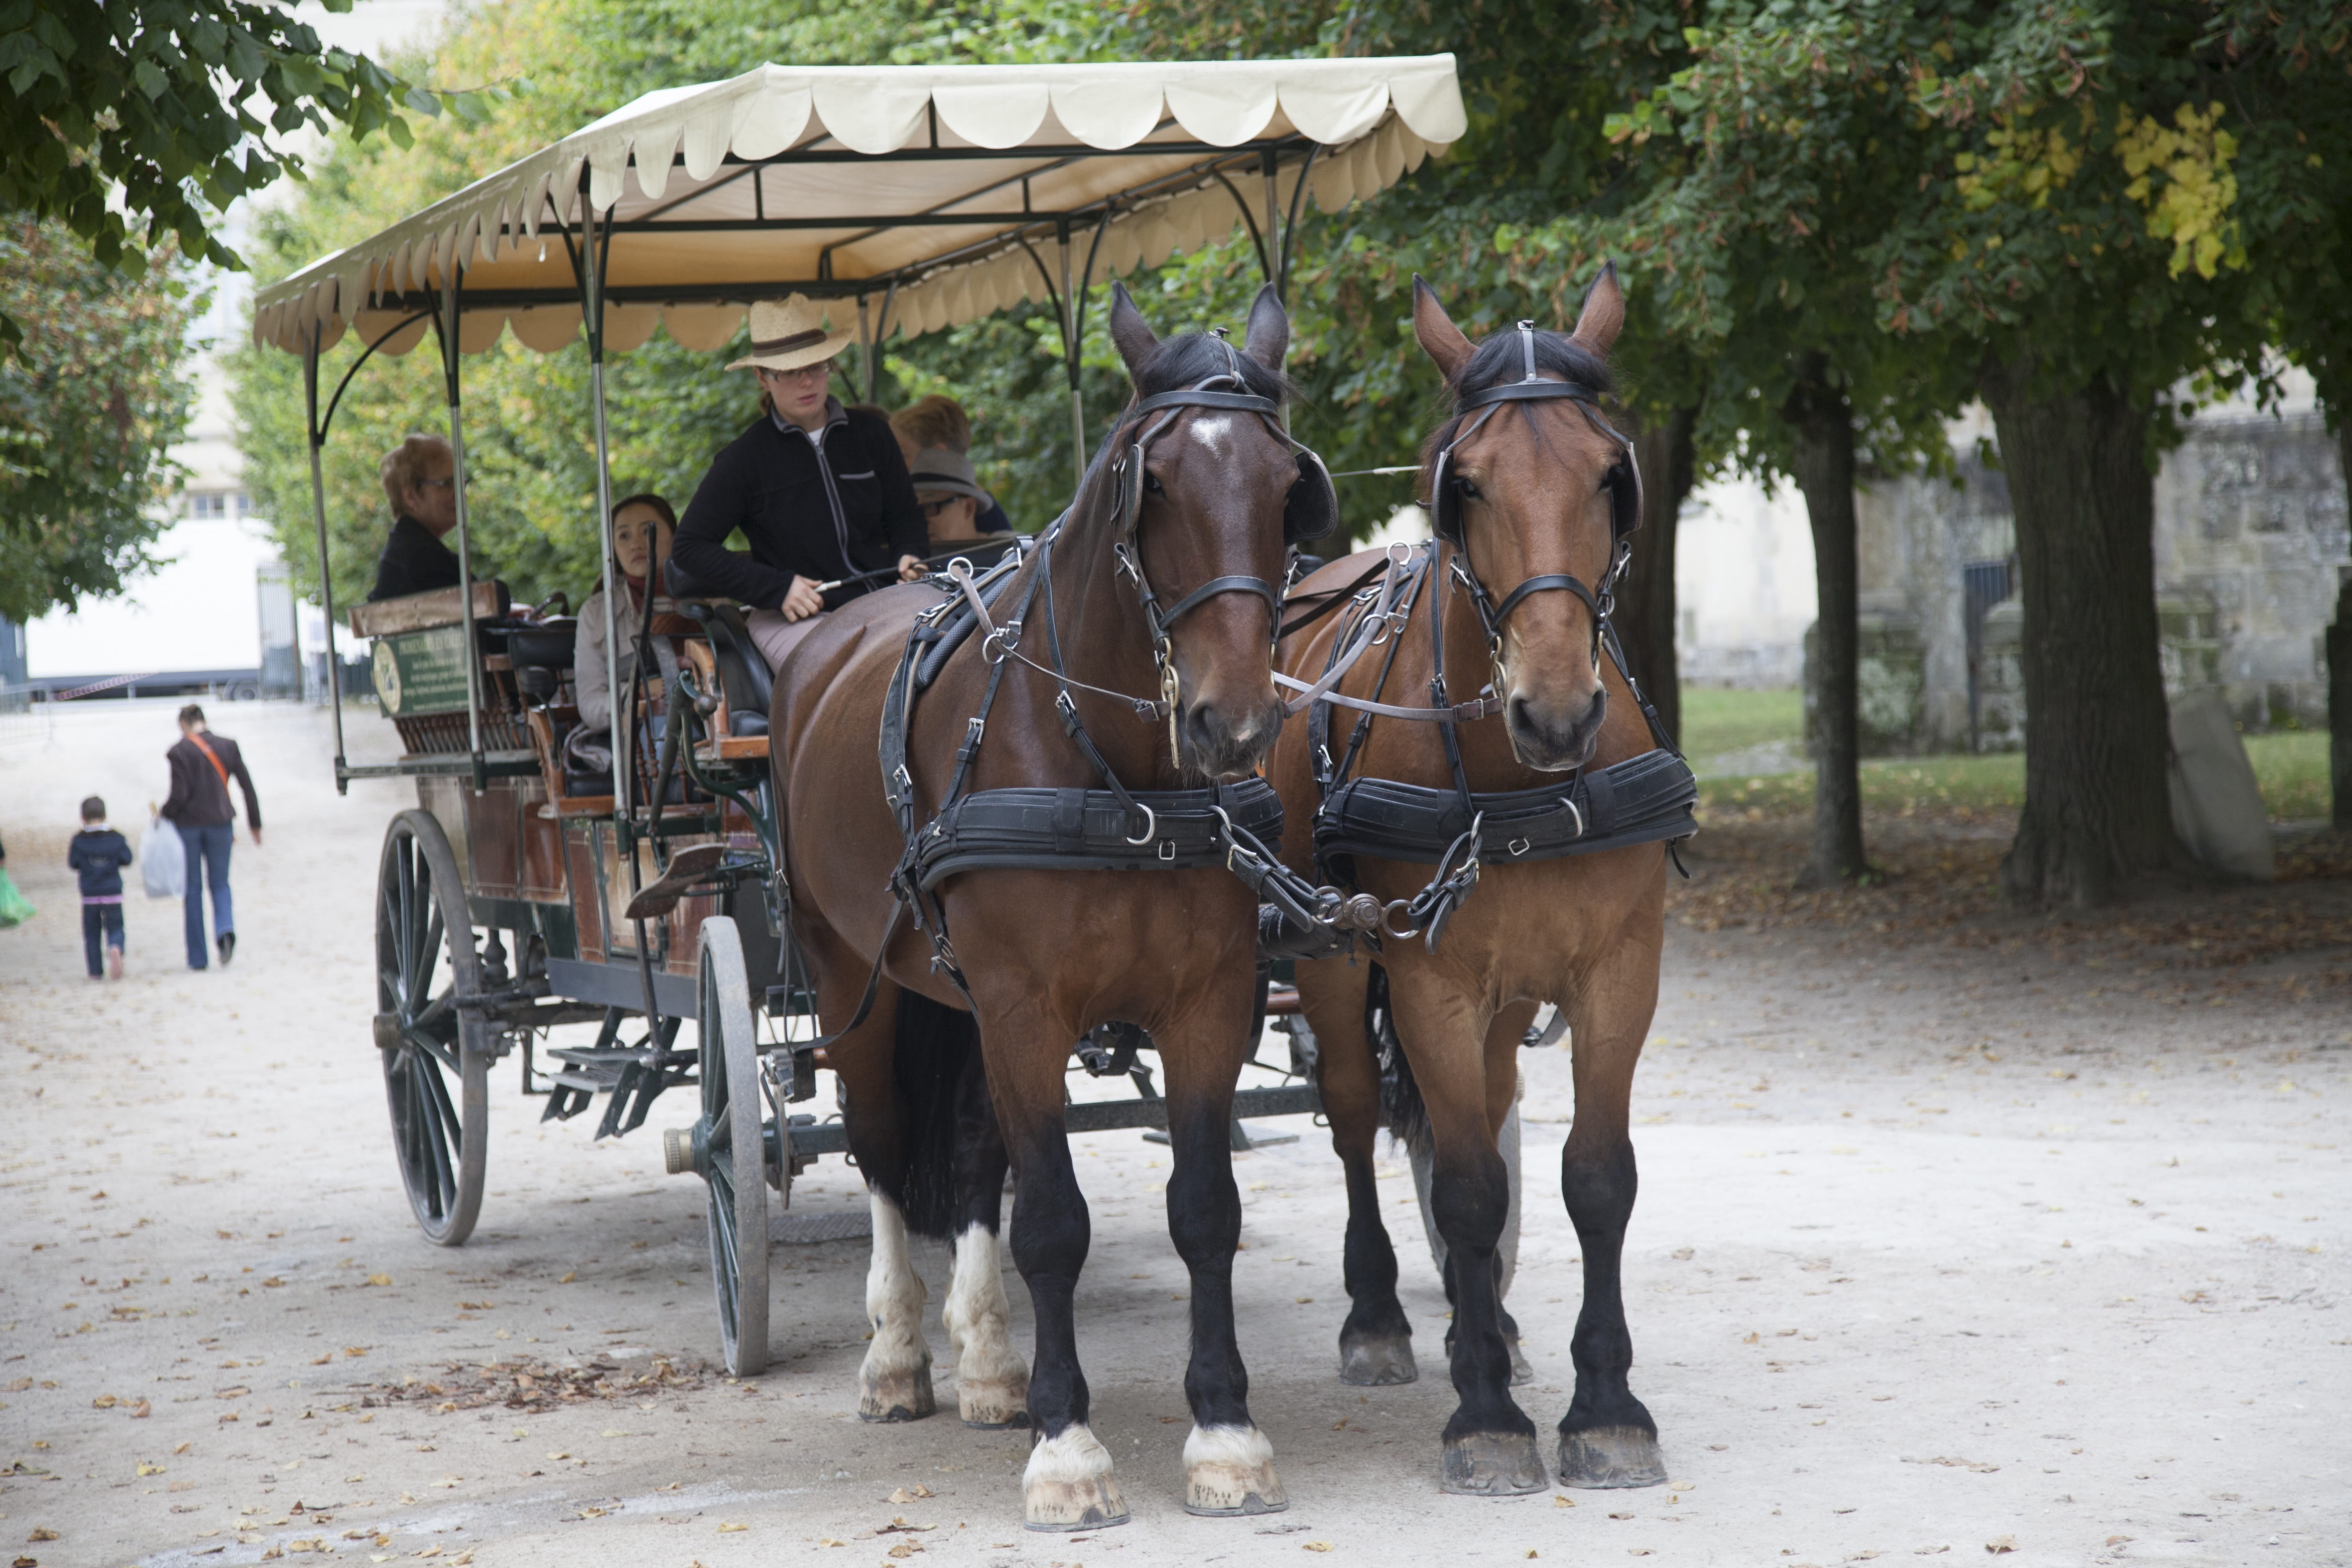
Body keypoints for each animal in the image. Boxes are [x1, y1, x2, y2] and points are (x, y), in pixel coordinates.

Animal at [770, 283, 1323, 1531]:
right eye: (1151, 484)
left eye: (1285, 485)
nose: (1231, 722)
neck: (1117, 772)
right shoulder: (1026, 1007)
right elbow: (1055, 1223)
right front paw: (1069, 1449)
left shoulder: (1207, 1002)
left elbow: (1203, 1205)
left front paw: (1224, 1430)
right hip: (849, 974)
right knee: (881, 1147)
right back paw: (898, 1358)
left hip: (956, 998)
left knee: (974, 1155)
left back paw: (986, 1364)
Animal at [1268, 265, 1691, 1496]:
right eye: (1463, 484)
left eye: (1612, 475)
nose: (1555, 712)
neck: (1520, 781)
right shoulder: (1429, 982)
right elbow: (1460, 1183)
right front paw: (1488, 1418)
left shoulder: (1620, 973)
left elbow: (1593, 1177)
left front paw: (1605, 1406)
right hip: (1331, 959)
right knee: (1357, 1117)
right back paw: (1384, 1317)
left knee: (1488, 1112)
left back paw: (1483, 1322)